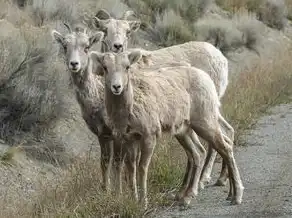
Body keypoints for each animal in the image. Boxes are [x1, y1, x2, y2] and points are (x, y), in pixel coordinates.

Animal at [92, 9, 234, 188]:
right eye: (105, 30)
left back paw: (203, 180)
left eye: (127, 31)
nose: (118, 46)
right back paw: (220, 179)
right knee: (227, 131)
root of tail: (221, 58)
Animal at [92, 50, 244, 209]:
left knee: (225, 148)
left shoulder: (149, 136)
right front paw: (133, 200)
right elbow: (131, 168)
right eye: (105, 68)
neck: (128, 109)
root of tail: (206, 78)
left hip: (205, 123)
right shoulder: (130, 139)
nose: (116, 87)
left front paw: (143, 203)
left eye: (127, 67)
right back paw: (190, 198)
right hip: (185, 130)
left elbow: (142, 168)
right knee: (199, 152)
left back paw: (236, 196)